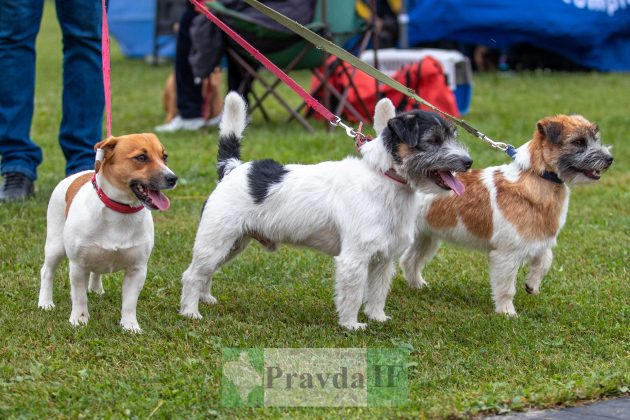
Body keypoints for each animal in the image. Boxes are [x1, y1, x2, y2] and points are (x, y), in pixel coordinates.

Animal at [38, 134, 178, 332]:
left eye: (164, 157)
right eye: (141, 157)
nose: (173, 178)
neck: (120, 211)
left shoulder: (137, 269)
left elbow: (129, 303)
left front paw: (130, 325)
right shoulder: (77, 265)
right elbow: (79, 298)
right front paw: (79, 320)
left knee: (96, 271)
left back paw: (96, 289)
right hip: (55, 246)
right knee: (47, 271)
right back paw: (45, 302)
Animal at [179, 92, 474, 332]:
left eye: (452, 136)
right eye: (433, 140)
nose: (468, 162)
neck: (384, 178)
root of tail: (232, 168)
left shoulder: (383, 259)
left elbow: (377, 293)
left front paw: (377, 318)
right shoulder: (354, 259)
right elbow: (353, 295)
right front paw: (351, 324)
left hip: (232, 244)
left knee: (206, 272)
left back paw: (205, 298)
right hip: (216, 240)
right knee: (192, 275)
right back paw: (191, 312)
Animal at [402, 114, 616, 316]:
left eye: (595, 138)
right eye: (578, 142)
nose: (609, 159)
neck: (535, 175)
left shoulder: (537, 237)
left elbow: (546, 259)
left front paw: (532, 284)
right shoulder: (507, 254)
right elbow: (506, 287)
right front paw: (507, 312)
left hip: (426, 239)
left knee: (410, 260)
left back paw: (418, 286)